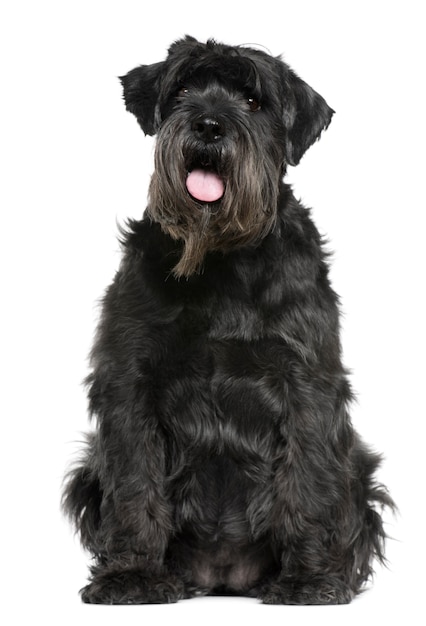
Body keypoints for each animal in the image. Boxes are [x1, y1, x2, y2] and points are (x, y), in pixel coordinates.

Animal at [62, 36, 392, 604]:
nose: (210, 125)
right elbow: (133, 481)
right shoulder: (129, 379)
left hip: (358, 468)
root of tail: (222, 577)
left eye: (255, 101)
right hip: (88, 469)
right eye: (183, 90)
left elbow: (307, 479)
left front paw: (308, 580)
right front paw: (132, 575)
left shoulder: (307, 384)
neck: (220, 259)